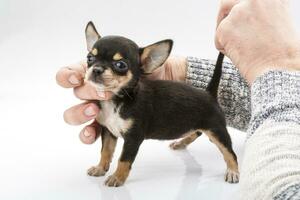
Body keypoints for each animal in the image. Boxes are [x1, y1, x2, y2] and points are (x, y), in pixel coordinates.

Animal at [84, 21, 239, 187]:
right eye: (89, 58)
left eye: (120, 65)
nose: (96, 69)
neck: (117, 100)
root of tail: (209, 93)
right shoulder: (108, 130)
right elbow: (105, 151)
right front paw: (100, 168)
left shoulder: (133, 138)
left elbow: (124, 159)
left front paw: (117, 177)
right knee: (196, 132)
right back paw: (181, 143)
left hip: (217, 130)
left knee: (229, 152)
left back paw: (233, 171)